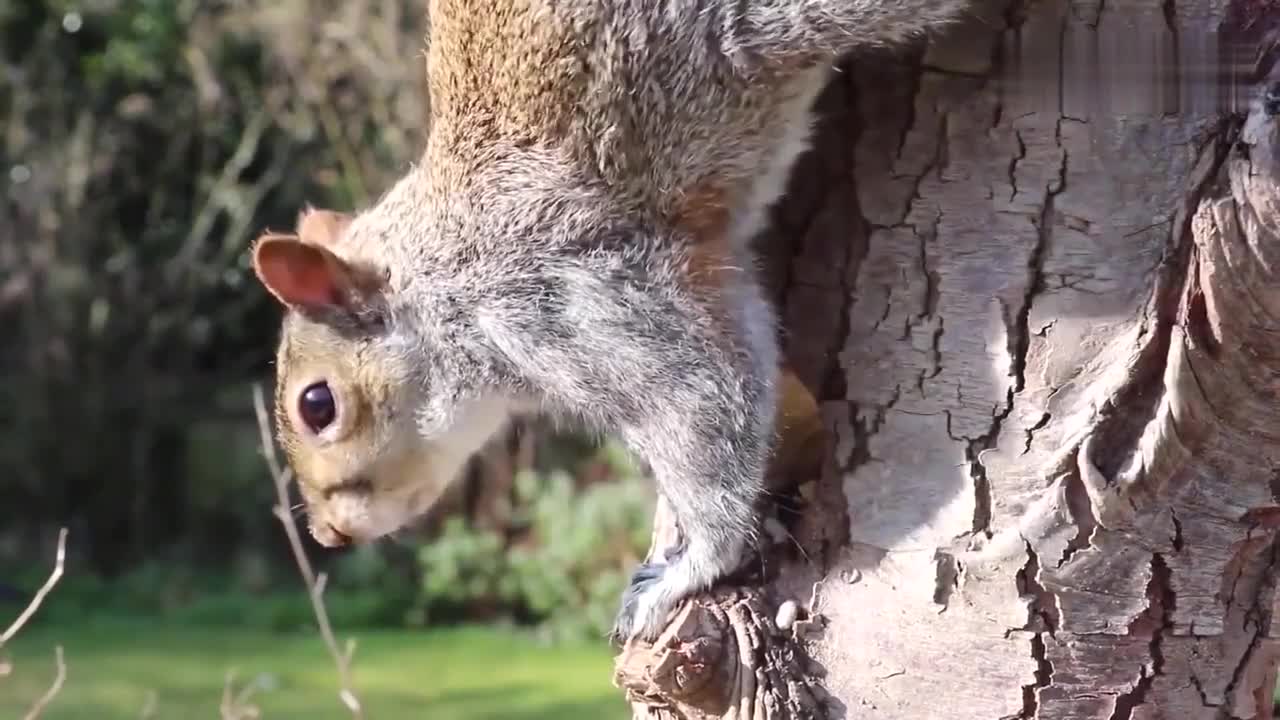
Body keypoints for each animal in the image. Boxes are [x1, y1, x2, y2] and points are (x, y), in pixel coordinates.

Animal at [249, 0, 967, 640]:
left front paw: (689, 568)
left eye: (317, 405)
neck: (447, 274)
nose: (328, 535)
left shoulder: (561, 302)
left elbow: (697, 401)